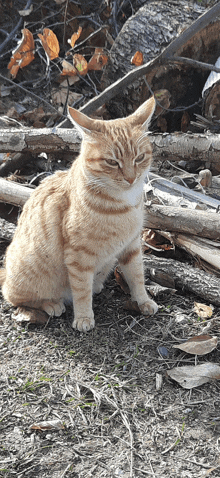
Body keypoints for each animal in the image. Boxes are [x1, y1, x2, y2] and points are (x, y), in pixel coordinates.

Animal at [0, 95, 158, 330]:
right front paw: (84, 317)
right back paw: (51, 304)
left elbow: (137, 276)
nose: (131, 178)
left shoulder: (131, 246)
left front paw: (143, 300)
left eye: (139, 158)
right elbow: (82, 291)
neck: (124, 203)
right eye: (112, 162)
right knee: (14, 297)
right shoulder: (79, 257)